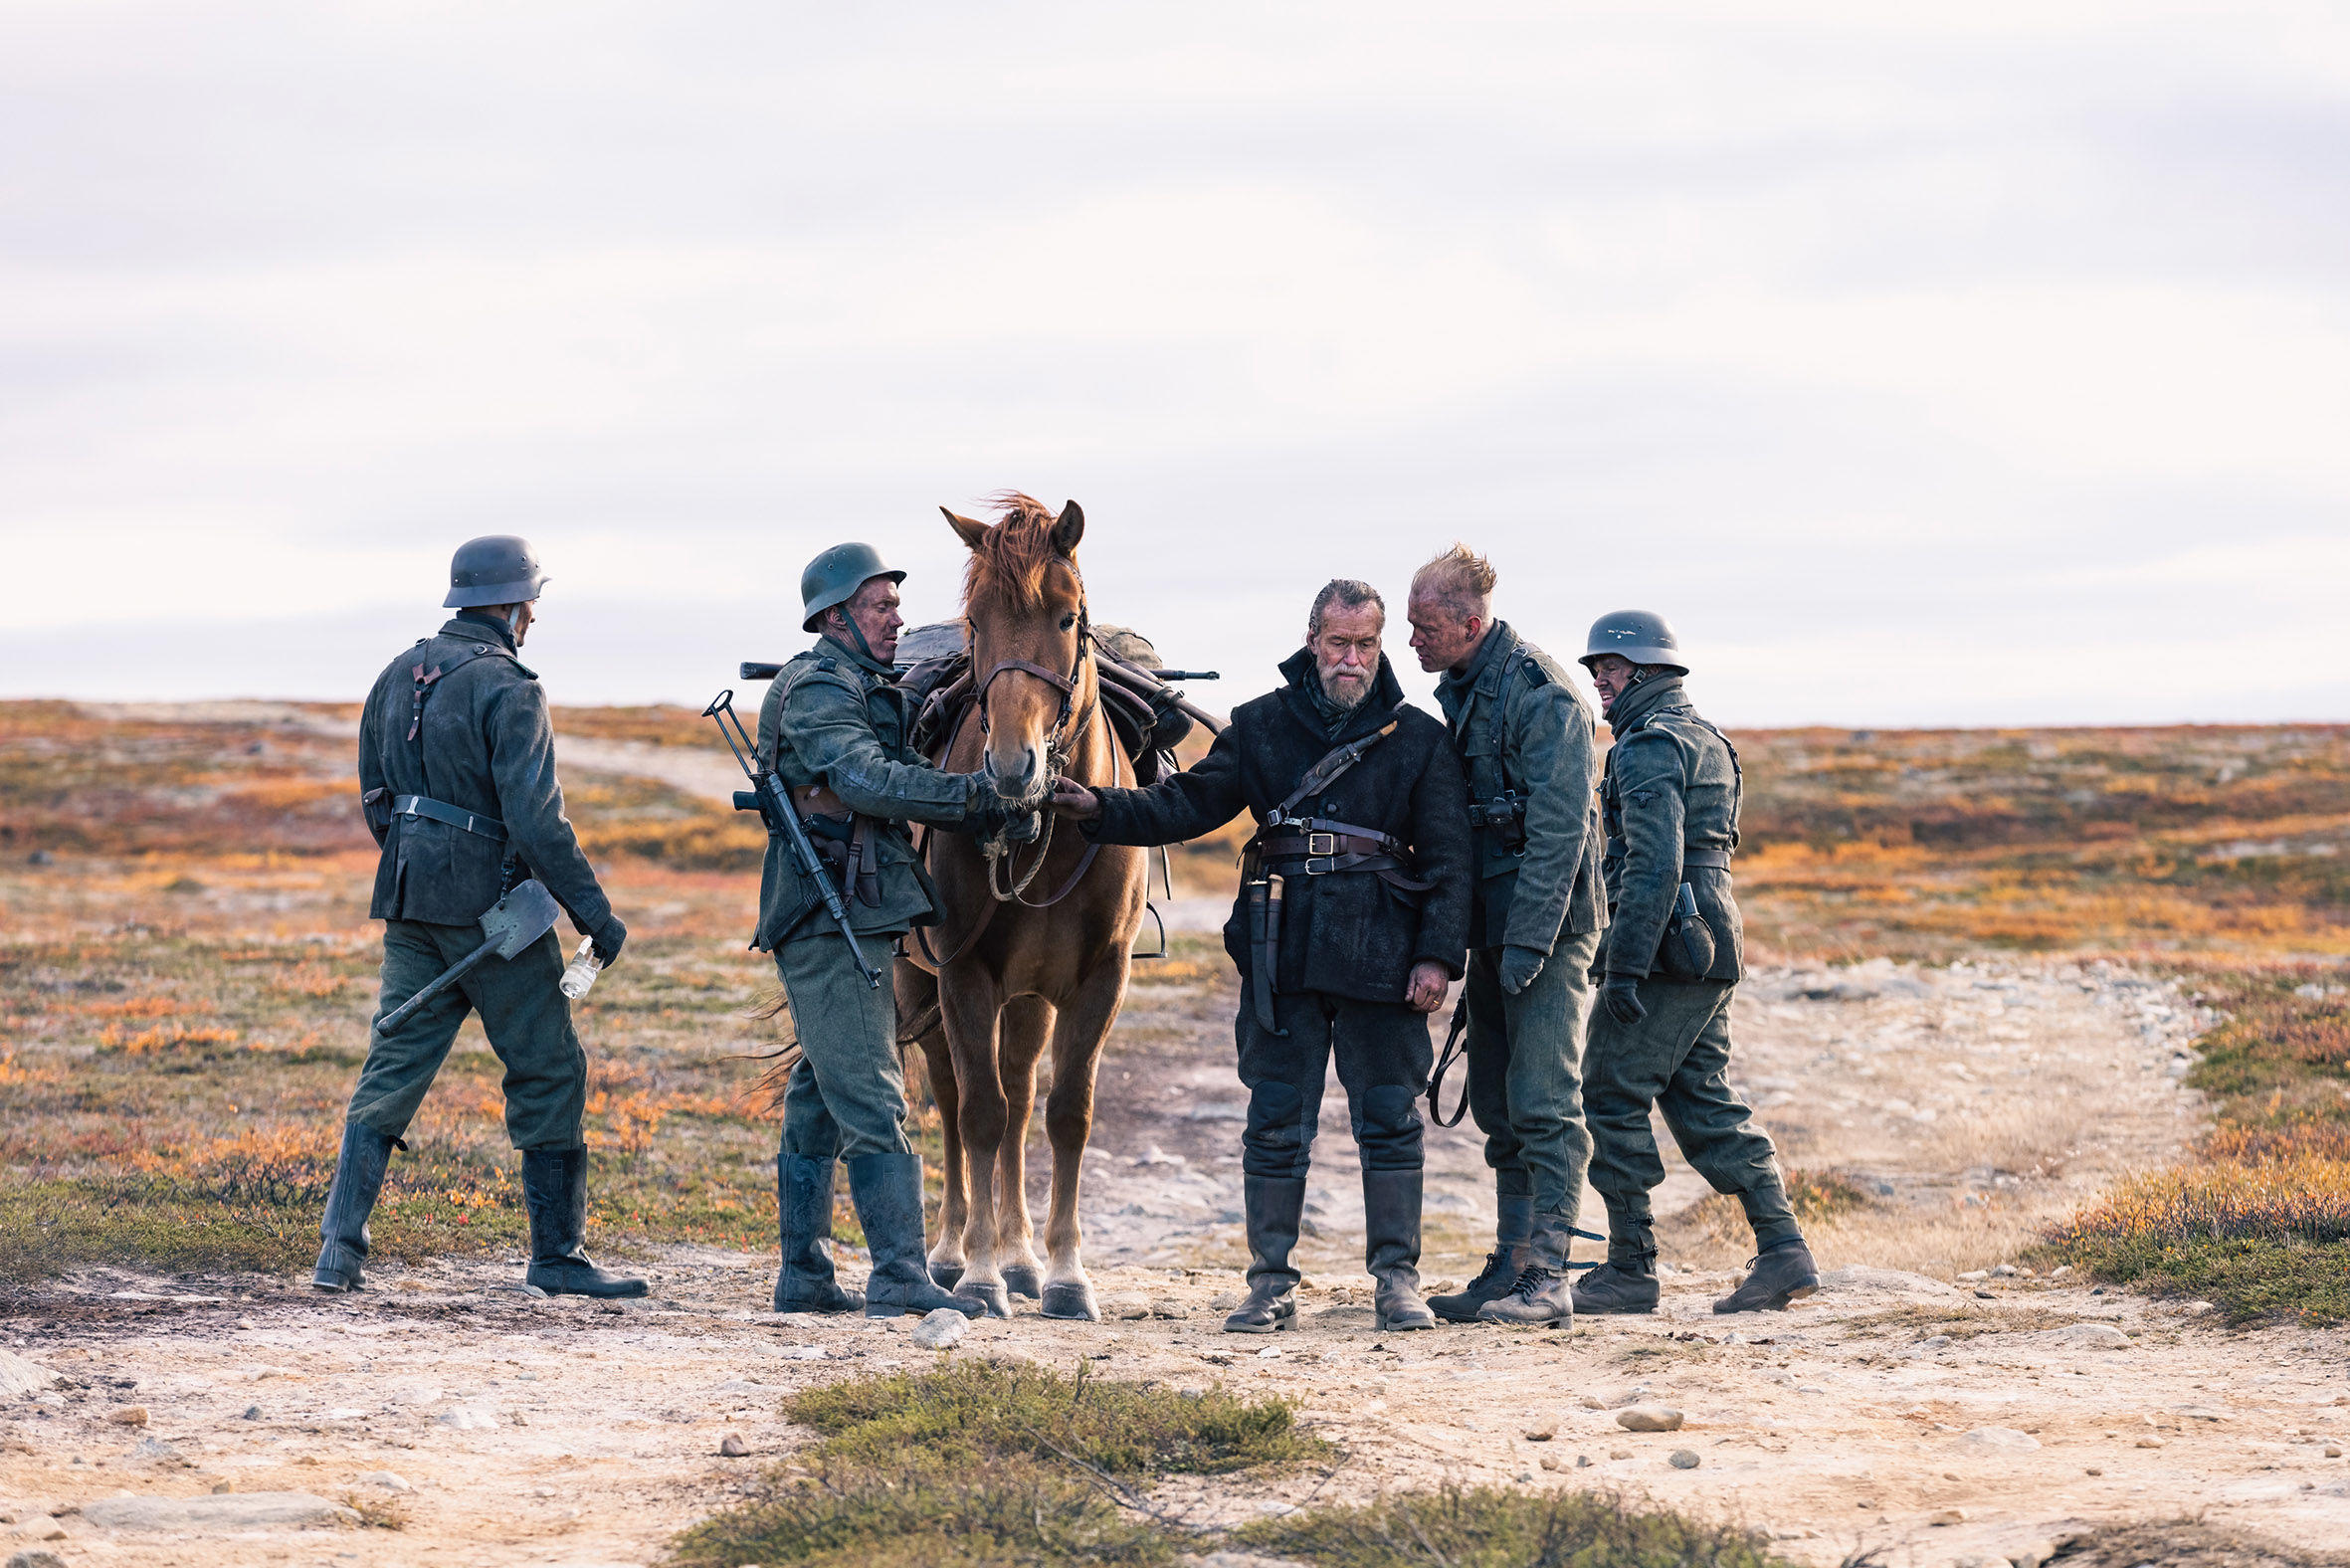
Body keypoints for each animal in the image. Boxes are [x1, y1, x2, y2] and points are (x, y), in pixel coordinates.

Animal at [897, 493, 1146, 1325]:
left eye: (1067, 617)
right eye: (974, 622)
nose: (1012, 768)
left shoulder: (1101, 978)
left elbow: (1066, 1112)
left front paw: (1065, 1272)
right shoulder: (962, 973)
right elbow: (976, 1111)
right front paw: (977, 1275)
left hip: (1032, 997)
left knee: (1020, 1091)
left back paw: (1022, 1257)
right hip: (919, 984)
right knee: (957, 1098)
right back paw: (951, 1253)